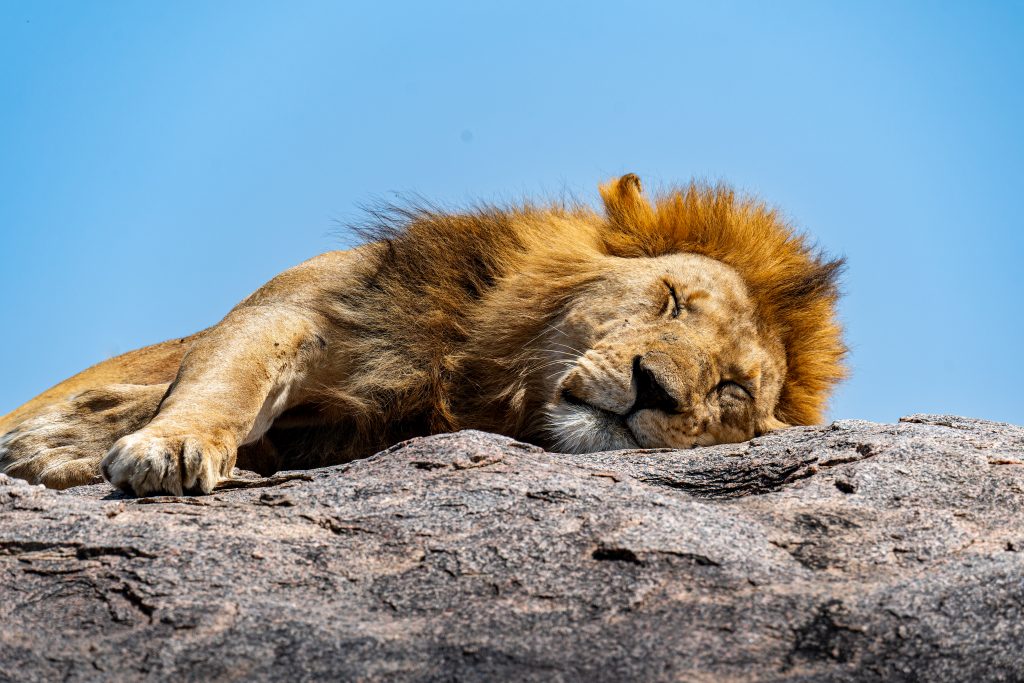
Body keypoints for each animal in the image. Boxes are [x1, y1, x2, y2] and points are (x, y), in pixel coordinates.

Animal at [0, 175, 846, 496]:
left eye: (729, 389)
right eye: (672, 299)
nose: (654, 388)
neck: (463, 367)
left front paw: (64, 445)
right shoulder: (298, 311)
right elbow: (226, 381)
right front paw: (167, 444)